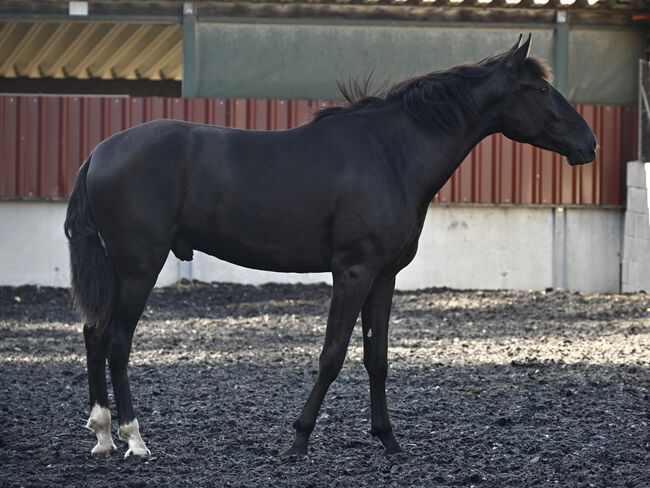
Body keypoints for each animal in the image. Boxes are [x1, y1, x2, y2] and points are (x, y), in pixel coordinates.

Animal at [64, 36, 592, 460]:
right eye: (540, 90)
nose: (589, 143)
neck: (389, 154)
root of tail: (98, 152)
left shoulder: (383, 276)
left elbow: (376, 359)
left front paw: (389, 442)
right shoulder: (353, 271)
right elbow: (332, 355)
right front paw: (299, 440)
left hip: (119, 268)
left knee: (94, 335)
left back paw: (103, 436)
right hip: (139, 266)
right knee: (116, 342)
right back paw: (134, 440)